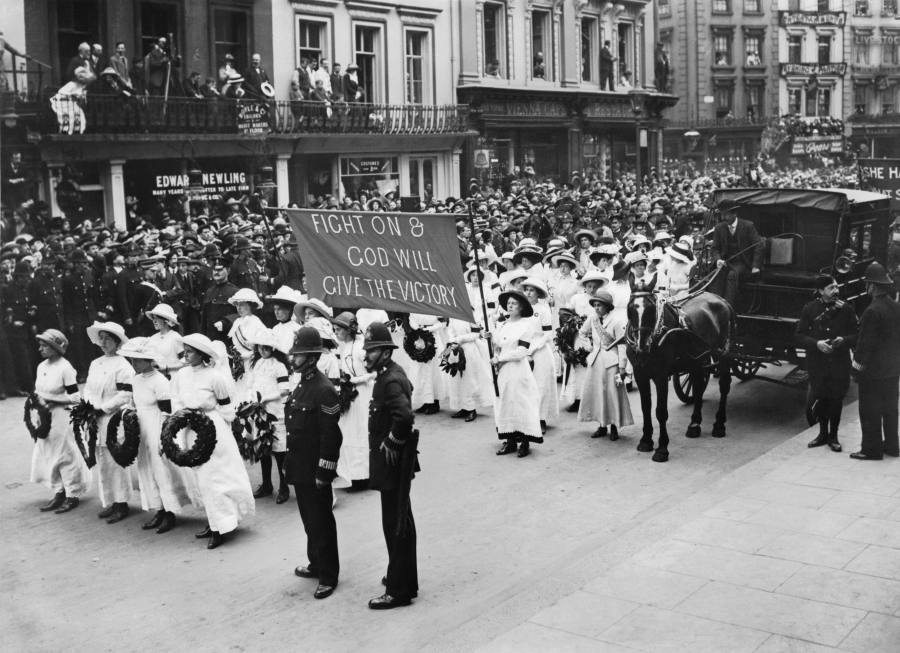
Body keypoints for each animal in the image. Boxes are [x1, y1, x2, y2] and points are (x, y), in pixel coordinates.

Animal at [628, 290, 736, 464]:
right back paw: (694, 424)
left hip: (724, 354)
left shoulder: (661, 376)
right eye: (630, 309)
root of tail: (721, 299)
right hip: (698, 360)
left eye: (651, 309)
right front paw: (646, 440)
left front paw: (662, 449)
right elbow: (646, 408)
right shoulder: (640, 374)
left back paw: (719, 424)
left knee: (724, 387)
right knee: (698, 387)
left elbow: (661, 412)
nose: (641, 345)